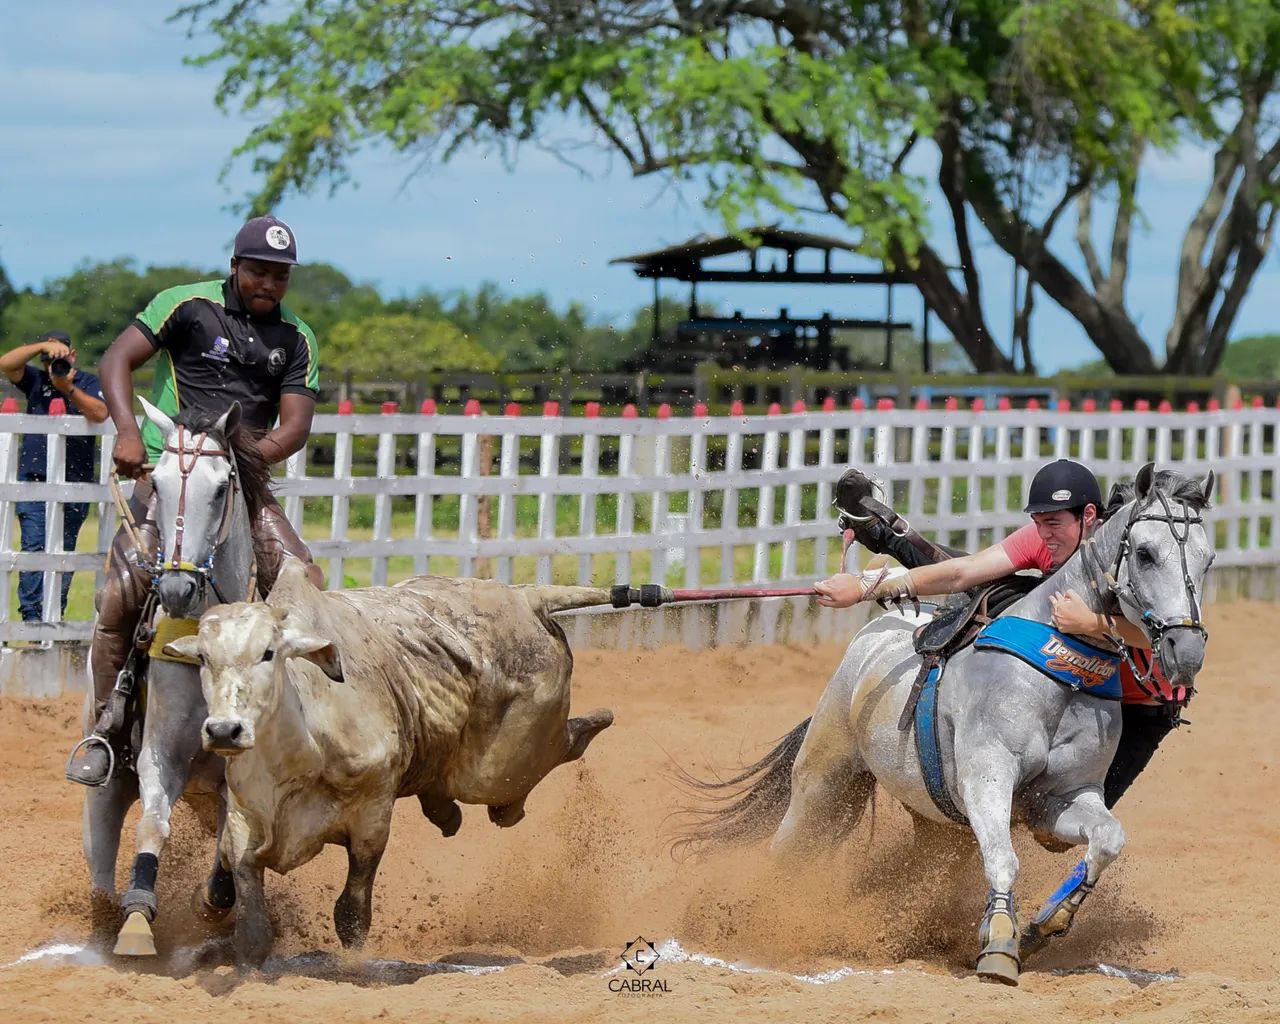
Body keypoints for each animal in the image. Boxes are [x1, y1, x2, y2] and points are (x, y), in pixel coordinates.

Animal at [79, 397, 263, 957]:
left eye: (222, 487)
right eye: (155, 484)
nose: (177, 588)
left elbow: (233, 843)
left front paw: (215, 901)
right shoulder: (159, 752)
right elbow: (154, 825)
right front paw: (138, 919)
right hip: (105, 782)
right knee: (101, 845)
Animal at [676, 465, 1215, 985]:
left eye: (1208, 559)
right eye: (1144, 553)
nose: (1185, 651)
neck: (1057, 674)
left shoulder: (1058, 801)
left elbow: (1107, 840)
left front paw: (1044, 925)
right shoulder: (986, 780)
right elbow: (1004, 859)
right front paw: (999, 944)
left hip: (934, 820)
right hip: (825, 780)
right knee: (788, 851)